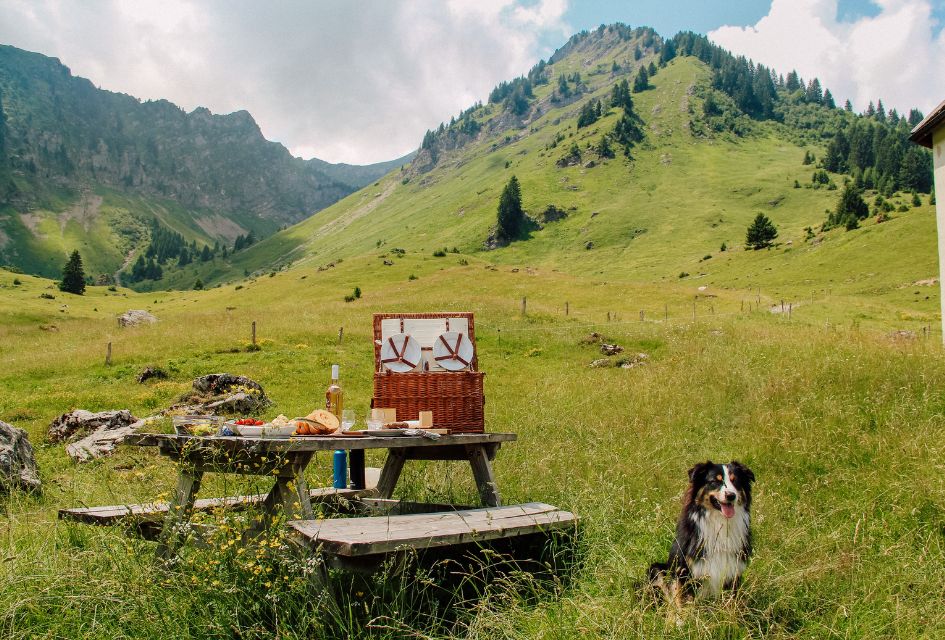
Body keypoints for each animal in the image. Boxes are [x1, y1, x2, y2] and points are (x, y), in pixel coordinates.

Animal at [648, 460, 752, 608]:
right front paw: (680, 615)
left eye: (735, 481)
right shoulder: (683, 569)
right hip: (657, 569)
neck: (720, 522)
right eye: (715, 481)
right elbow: (680, 599)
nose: (731, 495)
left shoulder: (734, 569)